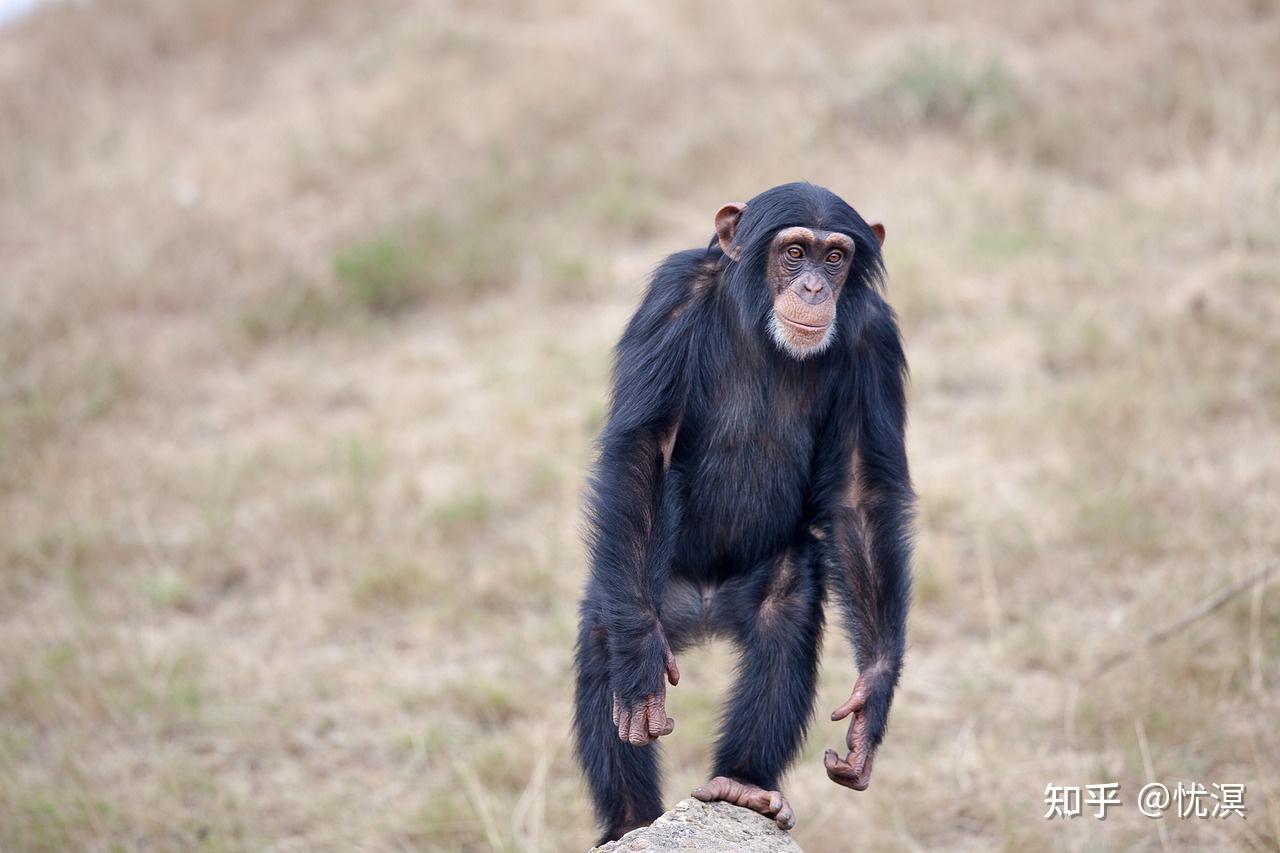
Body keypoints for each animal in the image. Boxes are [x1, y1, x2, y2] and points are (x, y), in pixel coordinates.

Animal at [576, 179, 916, 835]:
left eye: (835, 257)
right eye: (794, 252)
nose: (813, 288)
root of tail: (706, 612)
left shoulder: (875, 339)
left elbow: (861, 490)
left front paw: (873, 699)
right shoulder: (671, 301)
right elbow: (645, 448)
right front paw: (635, 662)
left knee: (787, 621)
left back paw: (744, 785)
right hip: (653, 591)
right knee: (608, 626)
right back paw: (632, 819)